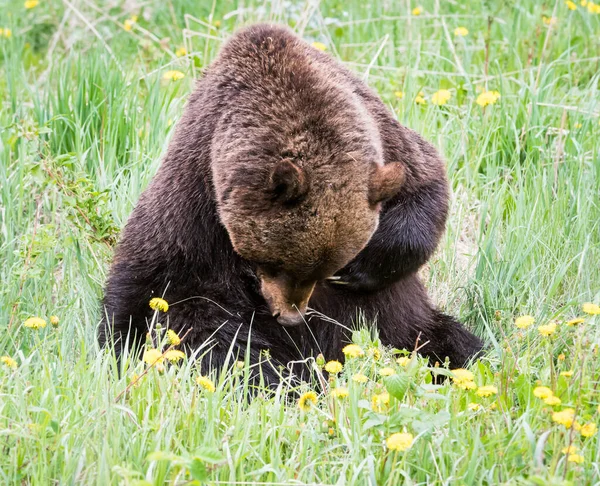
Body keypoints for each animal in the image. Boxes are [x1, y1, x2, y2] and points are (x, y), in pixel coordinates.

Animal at [98, 22, 482, 386]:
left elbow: (425, 186)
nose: (292, 316)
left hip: (403, 321)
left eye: (322, 270)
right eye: (274, 262)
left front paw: (358, 269)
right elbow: (153, 276)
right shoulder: (195, 182)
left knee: (438, 336)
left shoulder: (383, 135)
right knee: (215, 334)